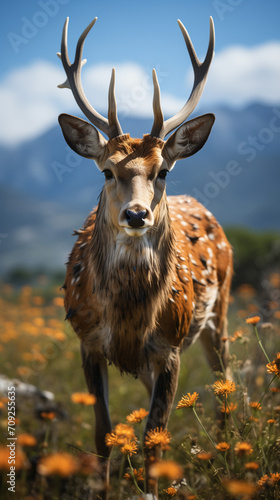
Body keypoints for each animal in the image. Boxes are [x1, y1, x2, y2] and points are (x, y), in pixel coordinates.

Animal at [56, 16, 232, 500]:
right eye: (106, 170)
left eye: (163, 170)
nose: (137, 214)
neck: (128, 315)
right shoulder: (87, 341)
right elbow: (104, 433)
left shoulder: (170, 344)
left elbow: (152, 434)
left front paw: (152, 488)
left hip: (220, 309)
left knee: (225, 383)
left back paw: (229, 458)